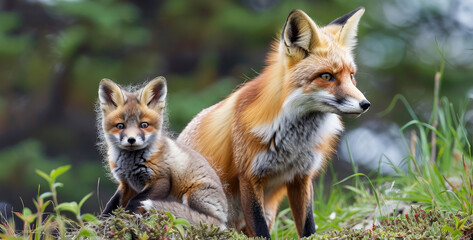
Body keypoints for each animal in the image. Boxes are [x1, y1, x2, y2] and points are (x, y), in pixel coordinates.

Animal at [97, 77, 227, 227]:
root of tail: (227, 215)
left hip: (193, 195)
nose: (131, 140)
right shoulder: (127, 184)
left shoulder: (161, 179)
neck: (130, 164)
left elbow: (136, 201)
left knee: (207, 220)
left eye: (144, 125)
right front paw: (102, 221)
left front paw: (127, 217)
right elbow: (112, 204)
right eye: (120, 126)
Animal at [179, 7, 370, 238]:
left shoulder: (301, 176)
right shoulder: (249, 176)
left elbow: (308, 225)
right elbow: (260, 228)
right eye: (327, 76)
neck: (293, 140)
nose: (365, 104)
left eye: (351, 76)